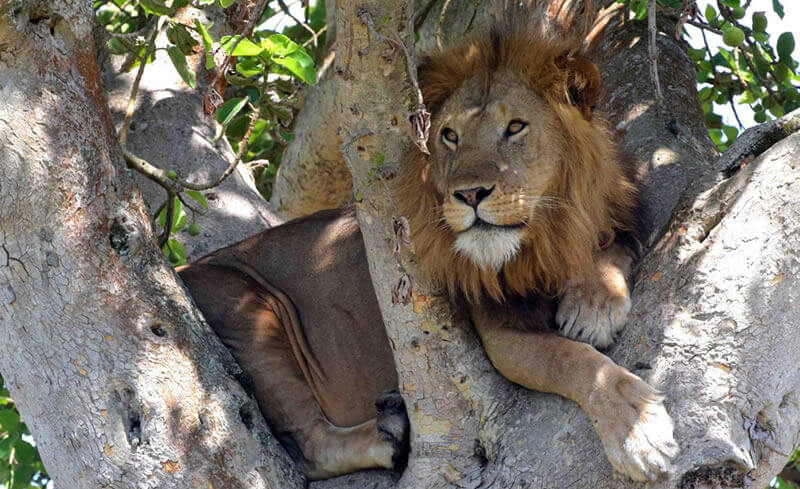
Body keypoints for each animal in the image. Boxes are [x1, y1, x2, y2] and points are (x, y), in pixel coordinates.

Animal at [177, 28, 678, 482]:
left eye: (515, 127)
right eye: (450, 136)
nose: (469, 194)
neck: (543, 238)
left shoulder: (618, 218)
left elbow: (612, 248)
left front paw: (593, 304)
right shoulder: (499, 333)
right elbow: (573, 361)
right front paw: (637, 431)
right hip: (244, 305)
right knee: (311, 447)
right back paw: (389, 436)